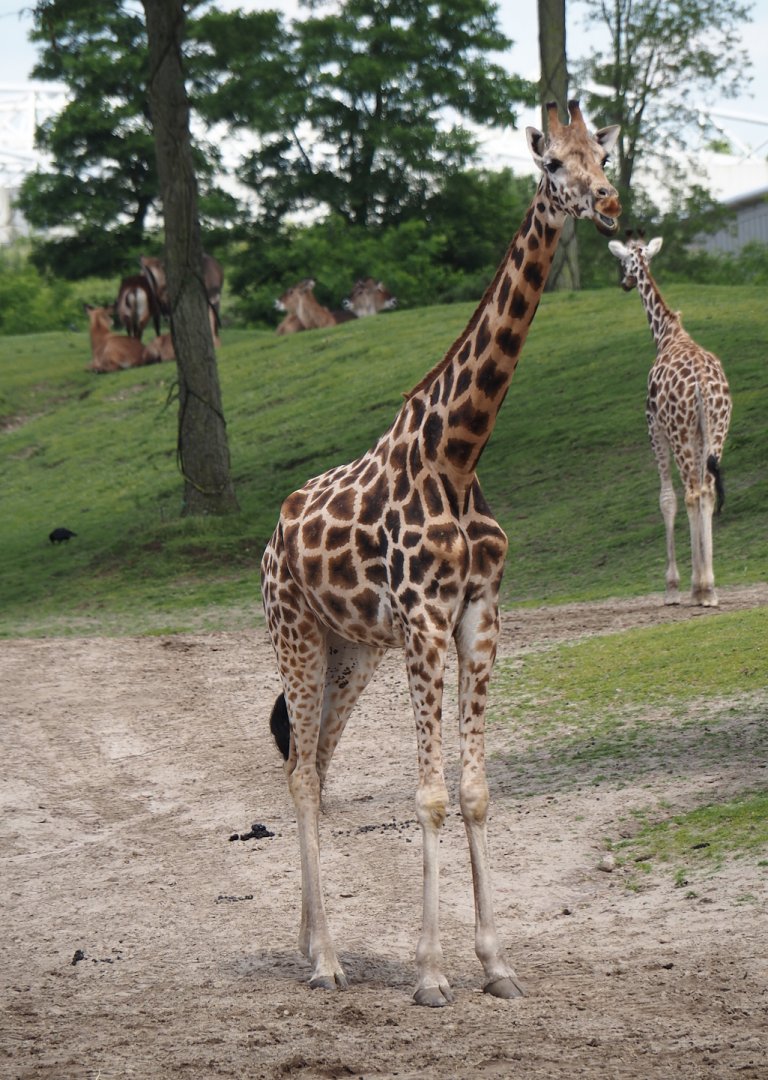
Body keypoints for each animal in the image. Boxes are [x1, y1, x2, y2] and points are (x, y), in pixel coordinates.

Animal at [261, 101, 621, 1006]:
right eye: (553, 163)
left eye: (603, 155)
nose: (607, 202)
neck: (458, 452)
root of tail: (274, 534)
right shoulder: (424, 622)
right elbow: (426, 795)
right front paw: (430, 972)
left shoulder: (478, 618)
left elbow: (475, 792)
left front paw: (497, 963)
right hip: (294, 635)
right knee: (302, 775)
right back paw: (326, 962)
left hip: (351, 650)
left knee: (315, 765)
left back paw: (309, 943)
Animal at [608, 233, 732, 606]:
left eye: (623, 261)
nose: (623, 282)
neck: (666, 334)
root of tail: (703, 385)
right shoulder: (698, 433)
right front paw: (694, 581)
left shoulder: (653, 426)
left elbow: (667, 499)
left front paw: (673, 586)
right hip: (717, 428)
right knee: (707, 489)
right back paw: (708, 587)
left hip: (679, 432)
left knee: (692, 492)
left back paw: (702, 588)